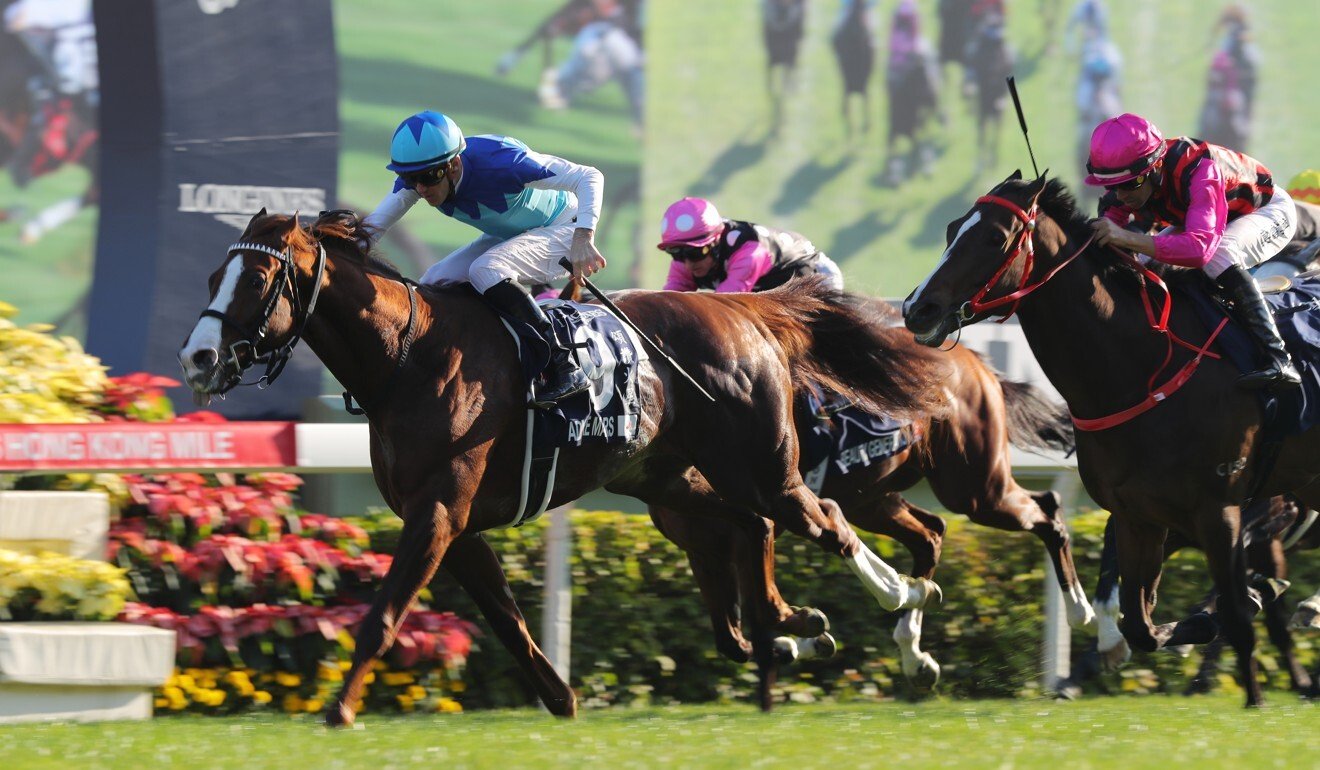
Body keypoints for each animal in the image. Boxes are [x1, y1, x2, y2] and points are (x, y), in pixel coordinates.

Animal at [180, 210, 955, 723]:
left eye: (258, 278)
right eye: (214, 274)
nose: (198, 357)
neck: (409, 358)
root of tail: (745, 313)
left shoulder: (439, 512)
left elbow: (385, 613)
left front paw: (338, 707)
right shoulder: (457, 526)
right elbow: (507, 620)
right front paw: (560, 697)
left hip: (761, 464)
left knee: (826, 520)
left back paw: (902, 605)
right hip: (668, 480)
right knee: (753, 527)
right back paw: (792, 626)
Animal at [902, 174, 1320, 713]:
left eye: (995, 237)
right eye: (953, 228)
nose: (917, 308)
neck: (1142, 368)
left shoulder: (1222, 510)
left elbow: (1237, 613)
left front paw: (1253, 698)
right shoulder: (1138, 515)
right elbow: (1139, 623)